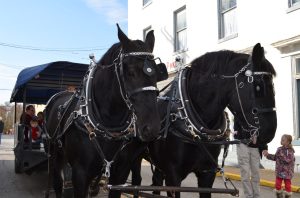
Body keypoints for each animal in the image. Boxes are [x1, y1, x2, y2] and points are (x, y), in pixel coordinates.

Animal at [43, 25, 168, 198]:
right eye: (130, 71)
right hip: (54, 155)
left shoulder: (119, 174)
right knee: (57, 182)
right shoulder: (80, 174)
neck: (108, 123)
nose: (152, 128)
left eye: (156, 73)